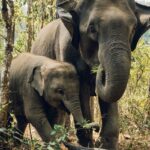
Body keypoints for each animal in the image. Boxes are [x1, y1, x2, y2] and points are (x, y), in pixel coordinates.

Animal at [31, 0, 149, 149]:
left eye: (133, 29)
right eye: (92, 29)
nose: (96, 127)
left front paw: (105, 144)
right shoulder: (65, 50)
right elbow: (81, 91)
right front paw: (87, 143)